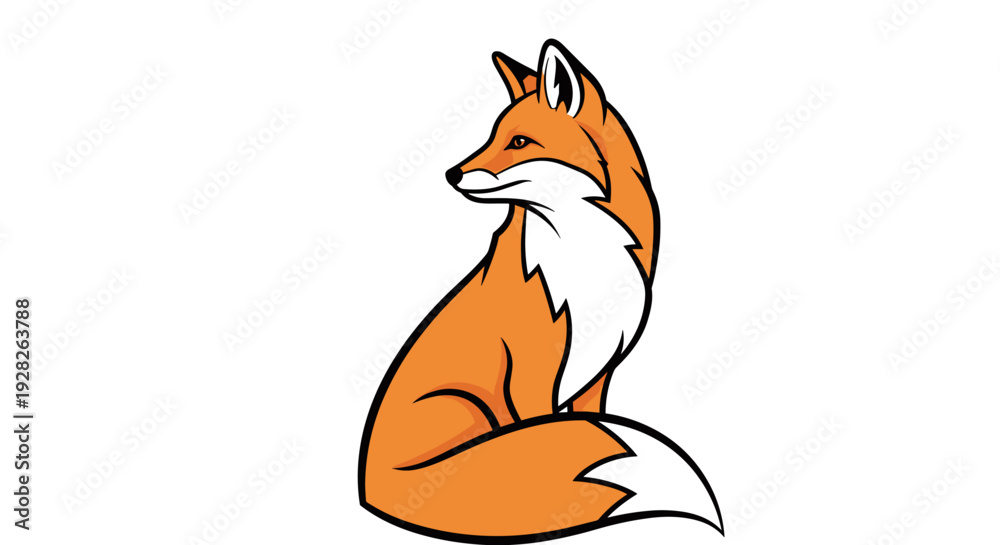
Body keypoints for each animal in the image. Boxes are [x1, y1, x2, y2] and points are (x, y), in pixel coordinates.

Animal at [359, 39, 722, 543]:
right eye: (492, 136)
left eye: (518, 142)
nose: (452, 174)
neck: (582, 255)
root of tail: (368, 487)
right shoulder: (530, 375)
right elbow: (536, 433)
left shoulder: (598, 373)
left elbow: (585, 420)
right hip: (464, 404)